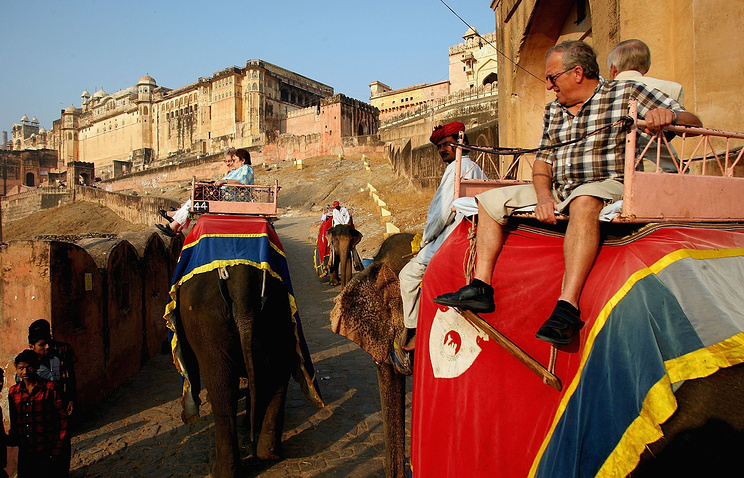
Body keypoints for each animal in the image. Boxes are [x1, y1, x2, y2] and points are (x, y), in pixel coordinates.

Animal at [177, 266, 300, 478]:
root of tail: (242, 280)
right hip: (279, 312)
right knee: (278, 371)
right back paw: (268, 452)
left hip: (205, 323)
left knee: (222, 390)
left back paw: (222, 471)